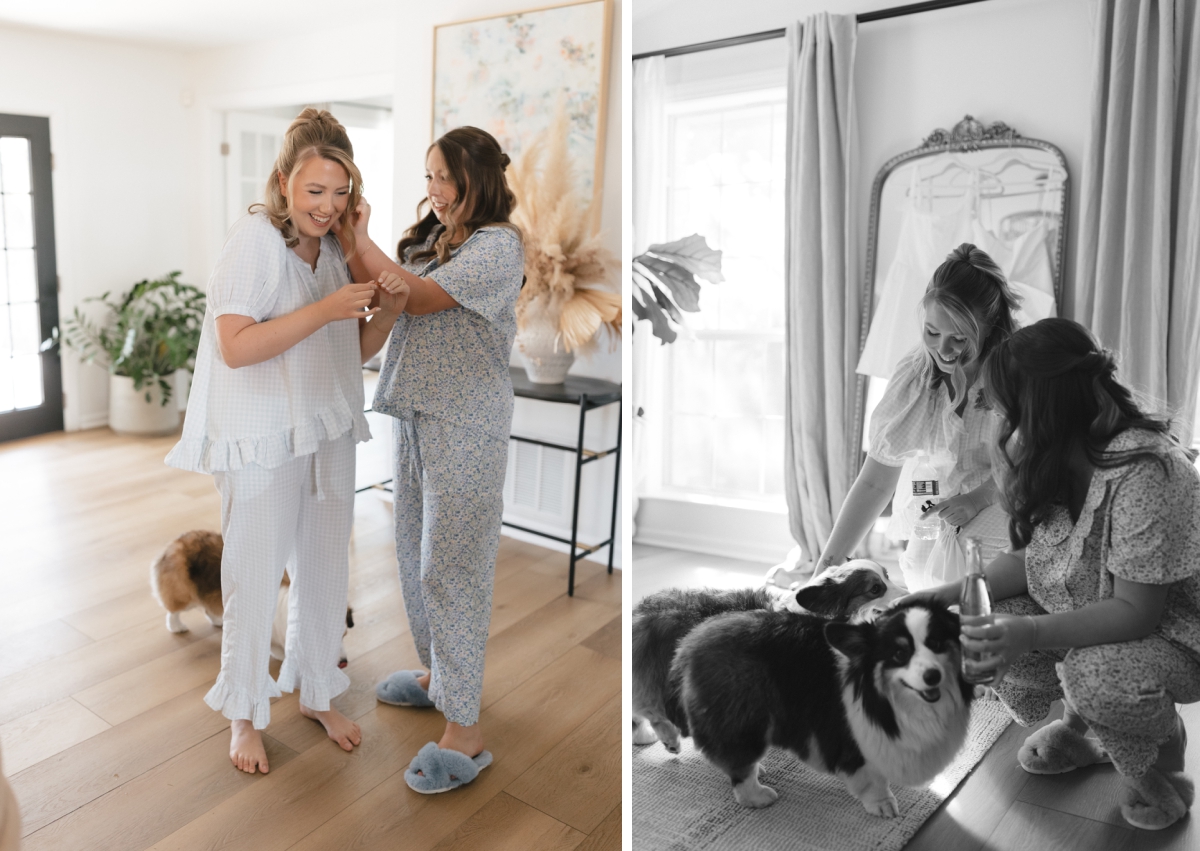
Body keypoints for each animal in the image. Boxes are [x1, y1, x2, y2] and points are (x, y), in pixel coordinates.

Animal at [148, 530, 350, 662]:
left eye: (344, 635)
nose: (343, 662)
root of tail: (171, 545)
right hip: (184, 597)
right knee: (173, 612)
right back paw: (177, 627)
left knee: (208, 608)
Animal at [672, 595, 969, 811]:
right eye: (899, 654)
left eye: (936, 643)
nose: (933, 676)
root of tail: (690, 642)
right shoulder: (849, 741)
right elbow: (872, 780)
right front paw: (883, 805)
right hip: (745, 722)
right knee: (740, 767)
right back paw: (758, 796)